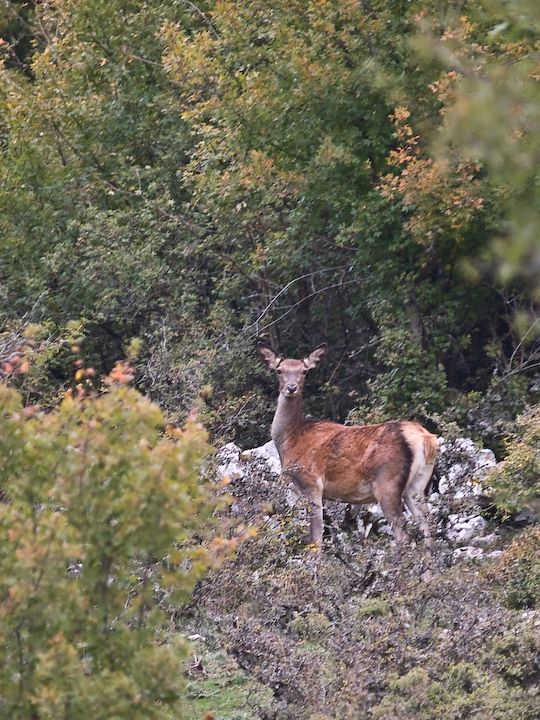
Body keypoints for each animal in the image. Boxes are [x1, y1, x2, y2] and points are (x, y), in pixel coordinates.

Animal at [258, 340, 438, 548]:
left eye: (304, 371)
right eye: (279, 370)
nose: (292, 387)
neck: (290, 440)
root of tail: (425, 439)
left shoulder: (311, 483)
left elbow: (316, 539)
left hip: (387, 482)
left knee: (403, 536)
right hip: (417, 485)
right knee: (427, 528)